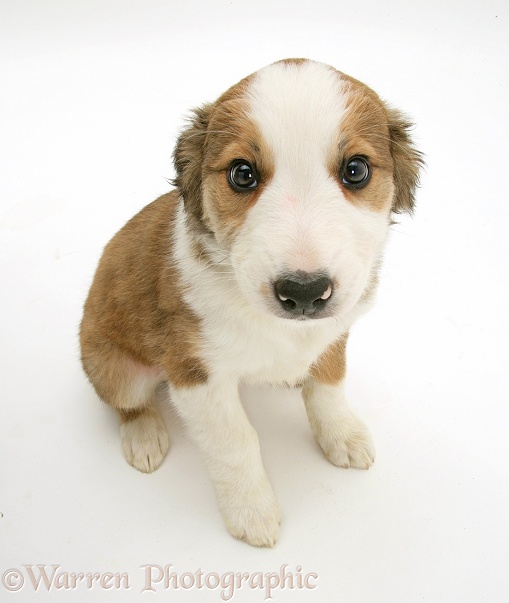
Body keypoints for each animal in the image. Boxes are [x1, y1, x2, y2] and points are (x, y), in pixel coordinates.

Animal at [79, 60, 420, 548]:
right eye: (242, 174)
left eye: (356, 170)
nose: (303, 293)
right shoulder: (196, 374)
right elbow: (235, 442)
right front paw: (251, 510)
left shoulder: (335, 333)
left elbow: (329, 387)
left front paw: (342, 434)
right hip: (115, 368)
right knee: (129, 402)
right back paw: (143, 435)